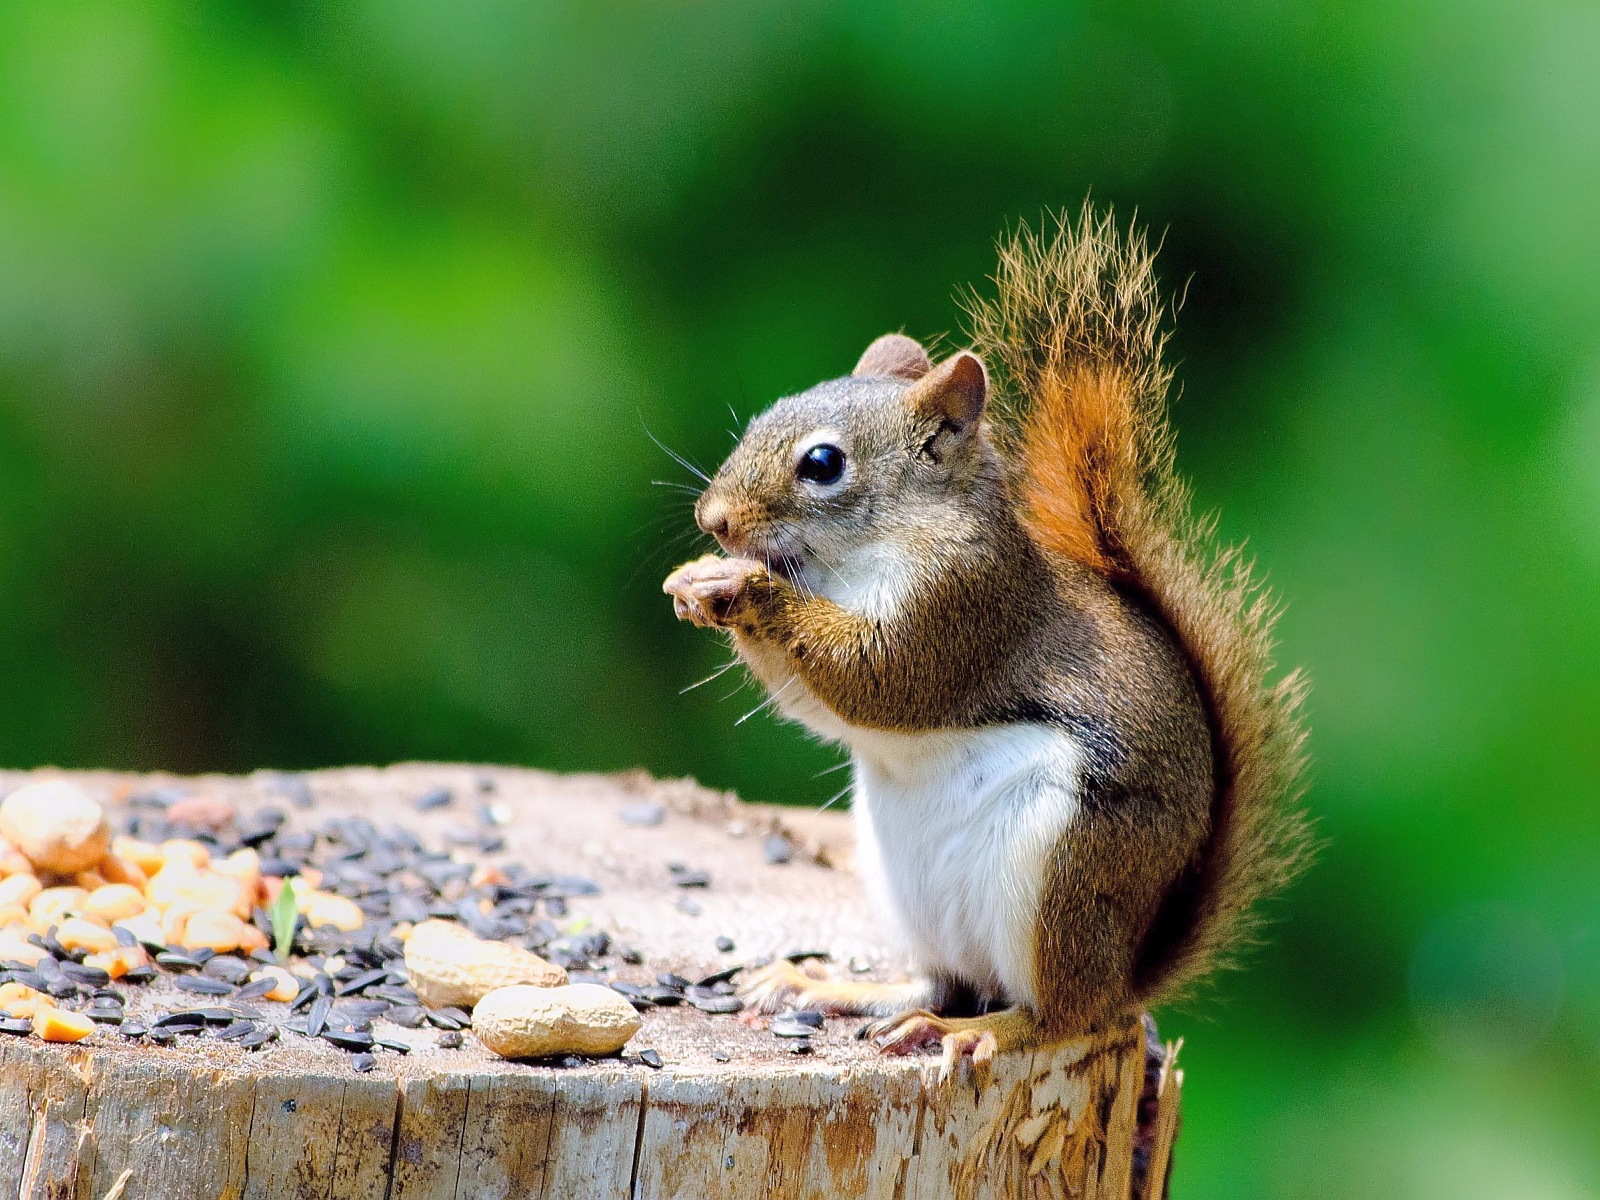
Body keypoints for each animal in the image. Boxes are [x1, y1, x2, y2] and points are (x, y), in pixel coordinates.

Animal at [662, 209, 1312, 1081]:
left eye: (823, 464)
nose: (714, 520)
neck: (856, 557)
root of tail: (1128, 970)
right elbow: (818, 702)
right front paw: (698, 580)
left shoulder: (962, 605)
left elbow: (880, 679)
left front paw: (748, 591)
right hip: (910, 889)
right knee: (940, 982)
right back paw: (836, 987)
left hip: (1063, 874)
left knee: (1057, 1014)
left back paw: (991, 1032)